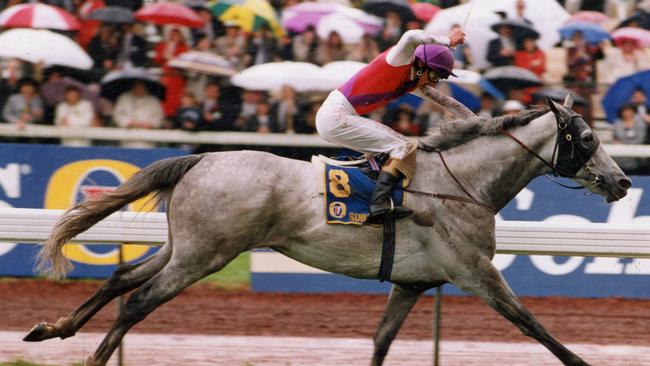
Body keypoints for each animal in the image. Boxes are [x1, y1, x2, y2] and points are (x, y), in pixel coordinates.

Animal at [25, 100, 628, 366]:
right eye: (587, 138)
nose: (623, 181)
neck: (462, 185)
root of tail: (202, 158)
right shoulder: (475, 271)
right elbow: (533, 324)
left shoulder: (412, 283)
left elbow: (381, 340)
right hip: (204, 255)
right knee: (138, 301)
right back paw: (92, 356)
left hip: (184, 245)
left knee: (122, 277)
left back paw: (52, 329)